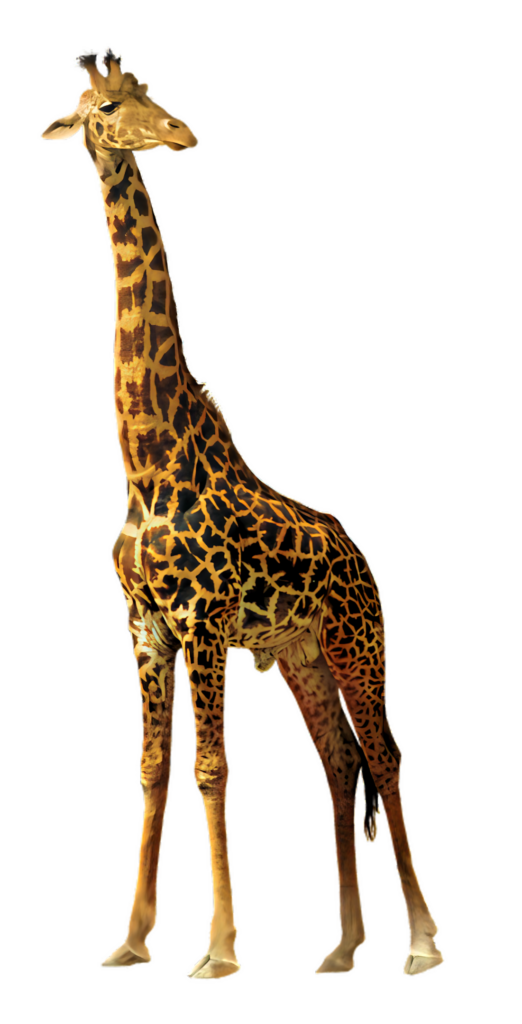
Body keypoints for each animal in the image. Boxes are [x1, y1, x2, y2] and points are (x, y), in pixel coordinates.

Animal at [40, 47, 445, 981]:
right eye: (108, 108)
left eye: (150, 92)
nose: (181, 134)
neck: (149, 462)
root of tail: (359, 555)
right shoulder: (146, 628)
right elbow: (155, 771)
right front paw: (131, 939)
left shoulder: (203, 620)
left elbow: (213, 769)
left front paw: (219, 950)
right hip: (300, 653)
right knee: (336, 765)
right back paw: (342, 947)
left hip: (356, 643)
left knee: (386, 758)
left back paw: (420, 943)